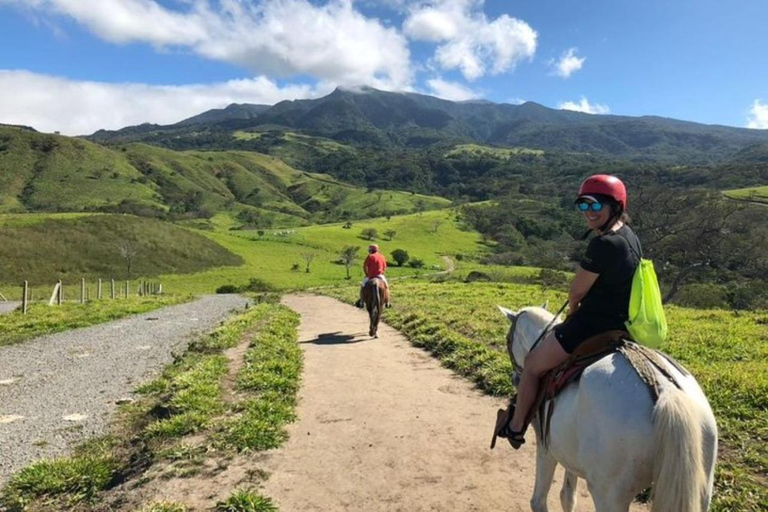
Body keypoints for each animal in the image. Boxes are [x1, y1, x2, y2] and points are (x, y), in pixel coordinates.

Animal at [500, 306, 716, 510]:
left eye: (508, 339)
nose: (515, 379)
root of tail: (666, 391)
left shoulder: (547, 447)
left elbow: (538, 501)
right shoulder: (569, 454)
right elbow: (567, 497)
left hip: (610, 496)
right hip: (701, 490)